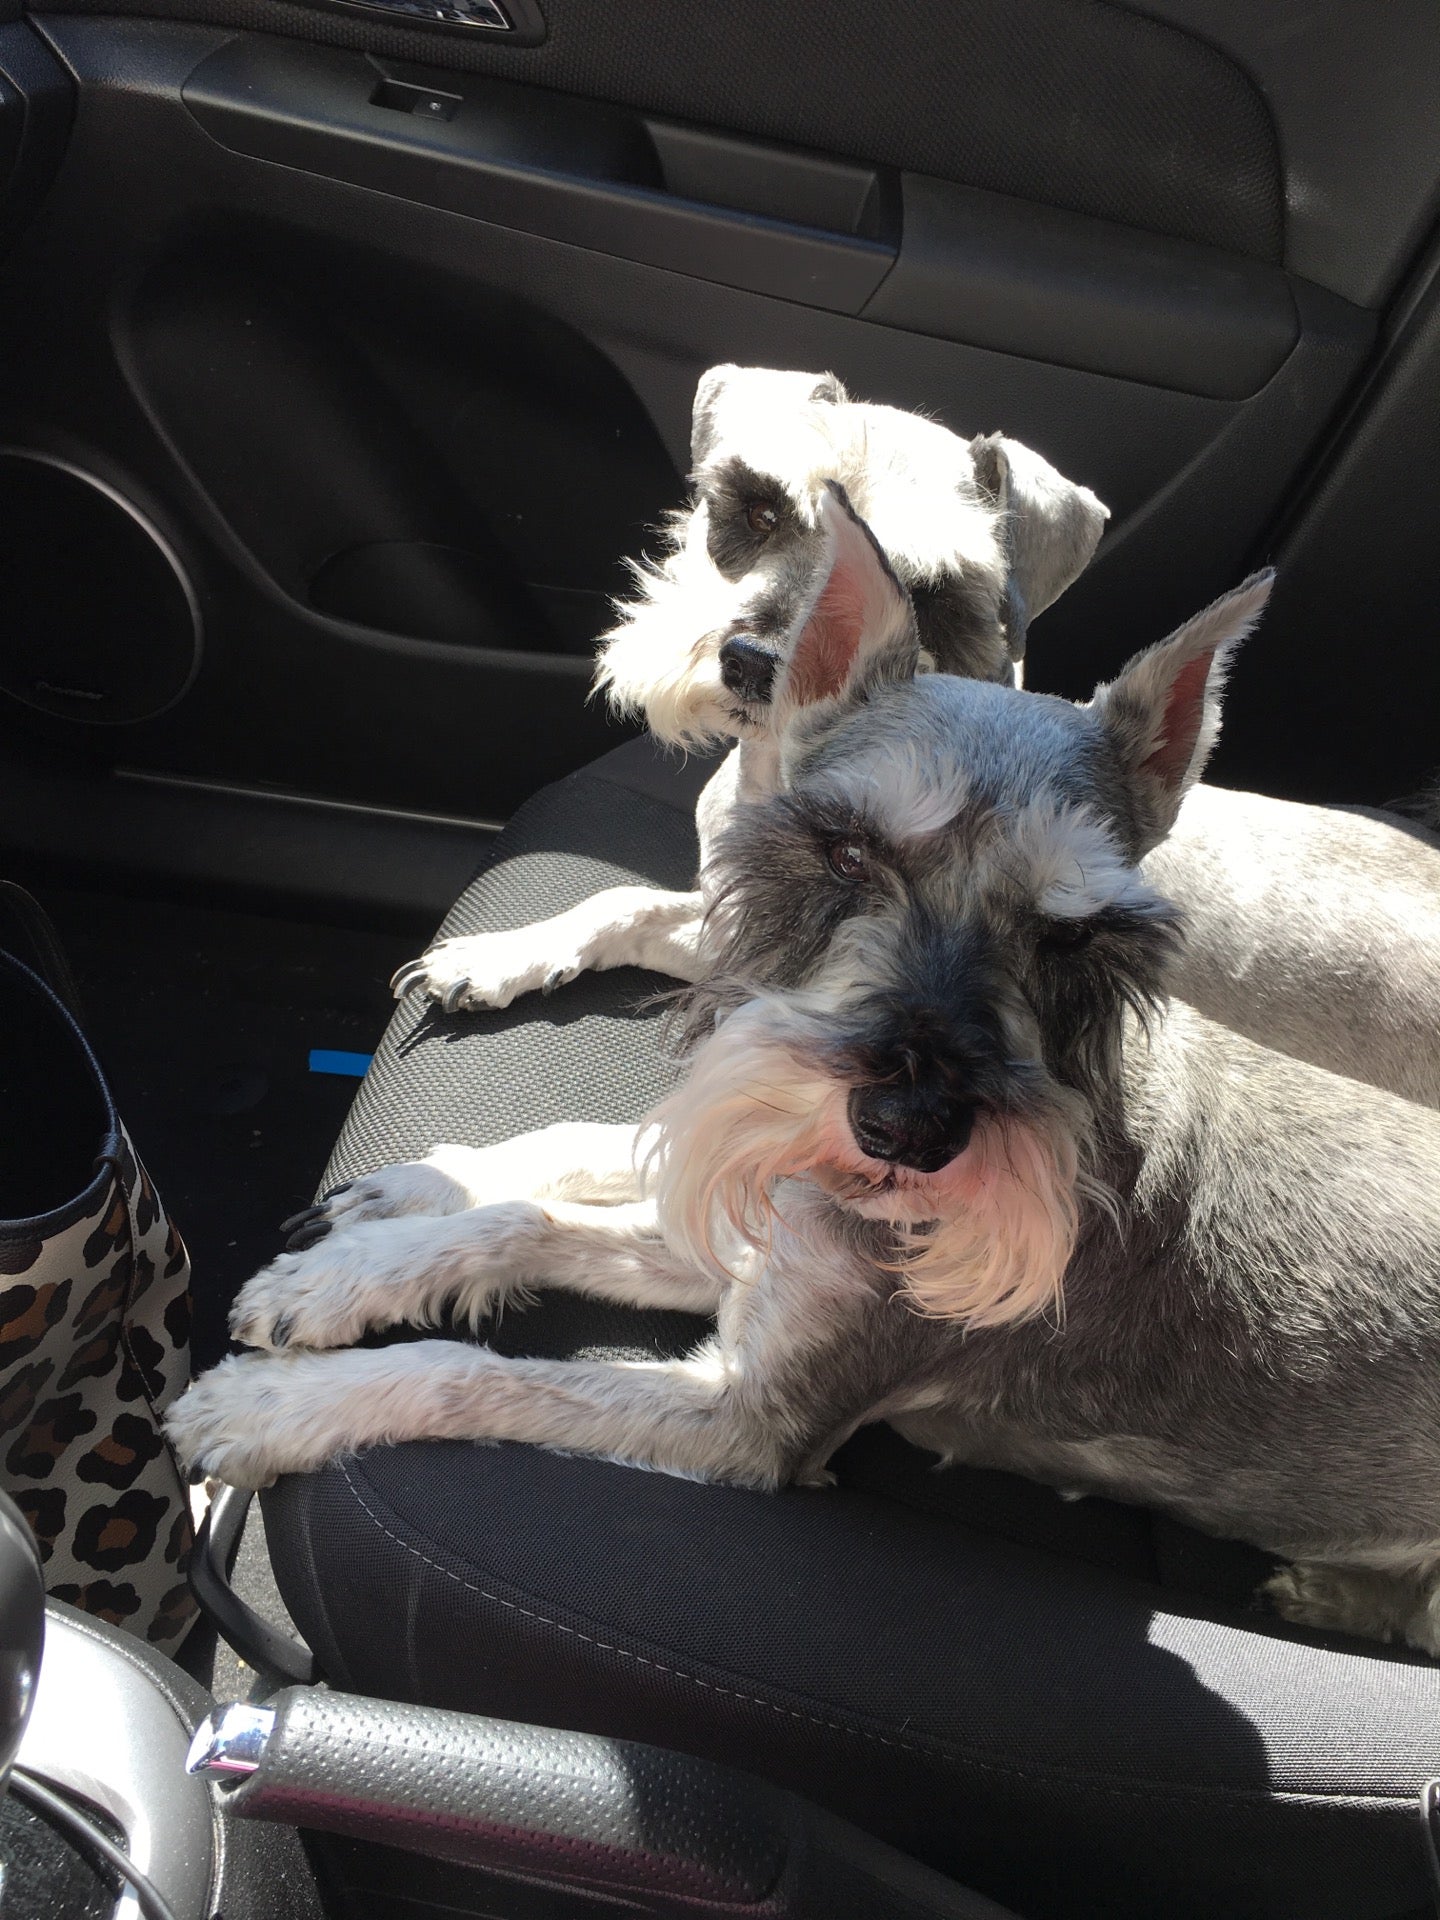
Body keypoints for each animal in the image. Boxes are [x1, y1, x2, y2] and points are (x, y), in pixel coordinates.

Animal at [170, 489, 1440, 1654]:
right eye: (846, 849)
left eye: (1074, 934)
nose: (909, 1126)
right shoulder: (755, 1235)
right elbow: (535, 1212)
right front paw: (353, 1259)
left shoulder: (750, 1418)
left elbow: (477, 1375)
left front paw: (273, 1404)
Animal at [394, 365, 1440, 1113]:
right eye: (760, 510)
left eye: (928, 588)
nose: (755, 662)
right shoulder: (737, 922)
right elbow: (624, 902)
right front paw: (498, 956)